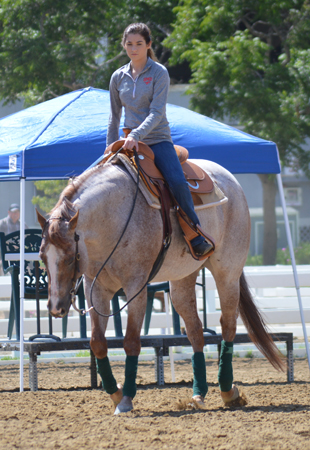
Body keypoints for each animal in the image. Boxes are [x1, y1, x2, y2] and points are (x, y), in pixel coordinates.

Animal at [36, 156, 284, 414]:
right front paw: (115, 393)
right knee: (195, 331)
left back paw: (228, 391)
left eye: (68, 257)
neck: (113, 218)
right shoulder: (96, 289)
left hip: (228, 272)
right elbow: (97, 343)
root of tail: (230, 179)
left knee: (228, 325)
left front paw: (126, 399)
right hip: (182, 280)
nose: (55, 308)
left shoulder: (136, 287)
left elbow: (131, 342)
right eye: (42, 256)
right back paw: (198, 395)